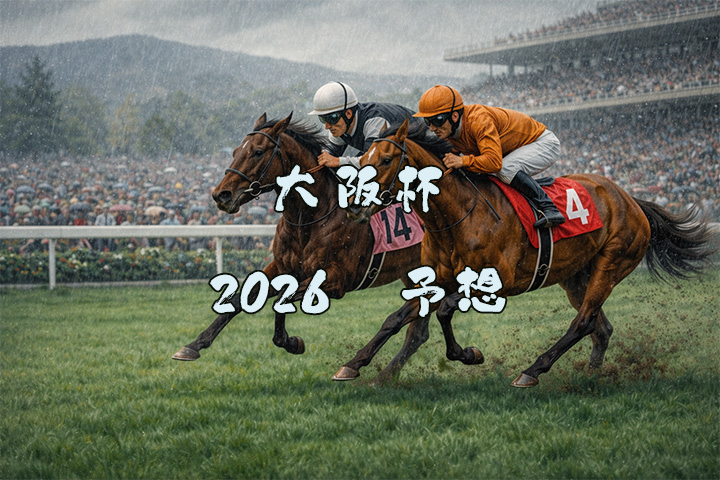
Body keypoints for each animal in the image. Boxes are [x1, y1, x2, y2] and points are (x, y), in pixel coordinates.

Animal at [172, 113, 428, 383]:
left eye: (258, 152)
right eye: (234, 152)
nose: (221, 195)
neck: (310, 218)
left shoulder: (337, 280)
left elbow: (281, 300)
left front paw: (292, 342)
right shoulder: (282, 266)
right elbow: (243, 298)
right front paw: (193, 346)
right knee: (418, 331)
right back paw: (384, 374)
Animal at [335, 118, 716, 387]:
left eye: (385, 160)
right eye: (362, 158)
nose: (353, 206)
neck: (457, 215)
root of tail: (629, 198)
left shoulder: (497, 283)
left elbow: (443, 312)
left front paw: (468, 354)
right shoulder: (437, 279)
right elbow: (396, 318)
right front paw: (353, 365)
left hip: (611, 264)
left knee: (583, 321)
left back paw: (533, 370)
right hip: (576, 276)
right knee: (601, 328)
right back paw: (589, 375)